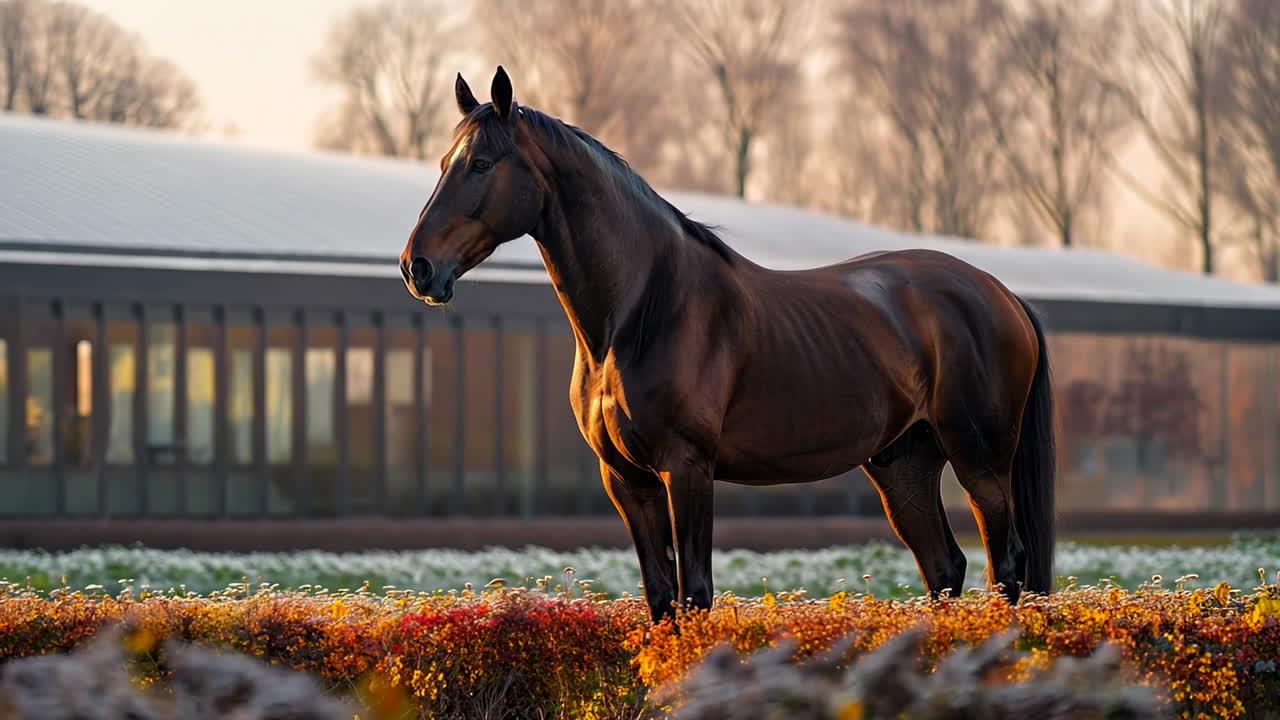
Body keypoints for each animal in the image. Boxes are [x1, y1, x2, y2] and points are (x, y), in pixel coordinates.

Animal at [399, 66, 1056, 624]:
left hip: (980, 461)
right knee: (945, 568)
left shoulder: (687, 468)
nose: (417, 267)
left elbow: (695, 595)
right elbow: (661, 598)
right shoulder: (627, 480)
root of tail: (1002, 293)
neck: (644, 309)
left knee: (1007, 565)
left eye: (481, 163)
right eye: (445, 161)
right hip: (904, 466)